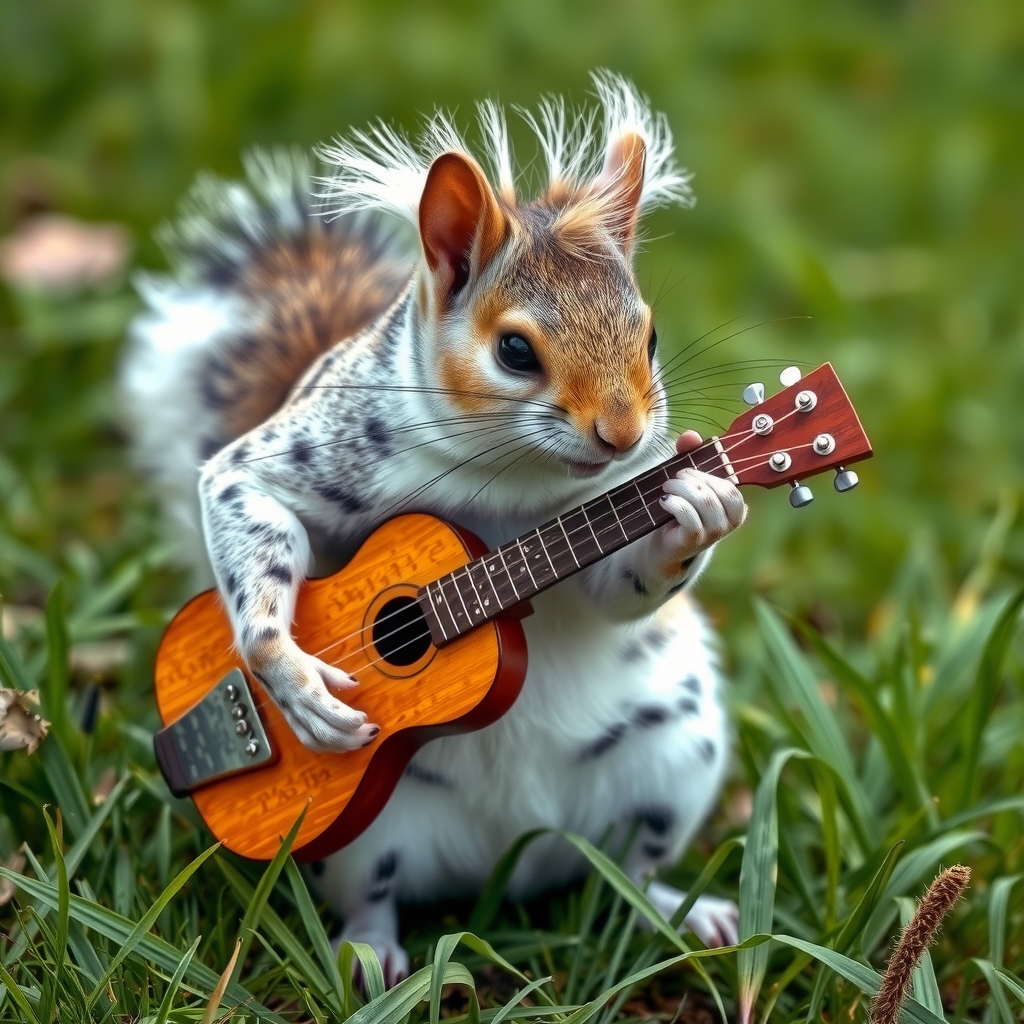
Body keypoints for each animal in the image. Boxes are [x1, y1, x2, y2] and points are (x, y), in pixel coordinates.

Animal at [123, 72, 749, 983]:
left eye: (652, 335)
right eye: (516, 352)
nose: (625, 436)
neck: (509, 475)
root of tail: (508, 861)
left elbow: (616, 587)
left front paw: (701, 508)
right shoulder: (297, 452)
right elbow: (240, 487)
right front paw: (289, 681)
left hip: (673, 758)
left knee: (630, 869)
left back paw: (681, 912)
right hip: (361, 837)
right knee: (374, 893)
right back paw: (368, 954)